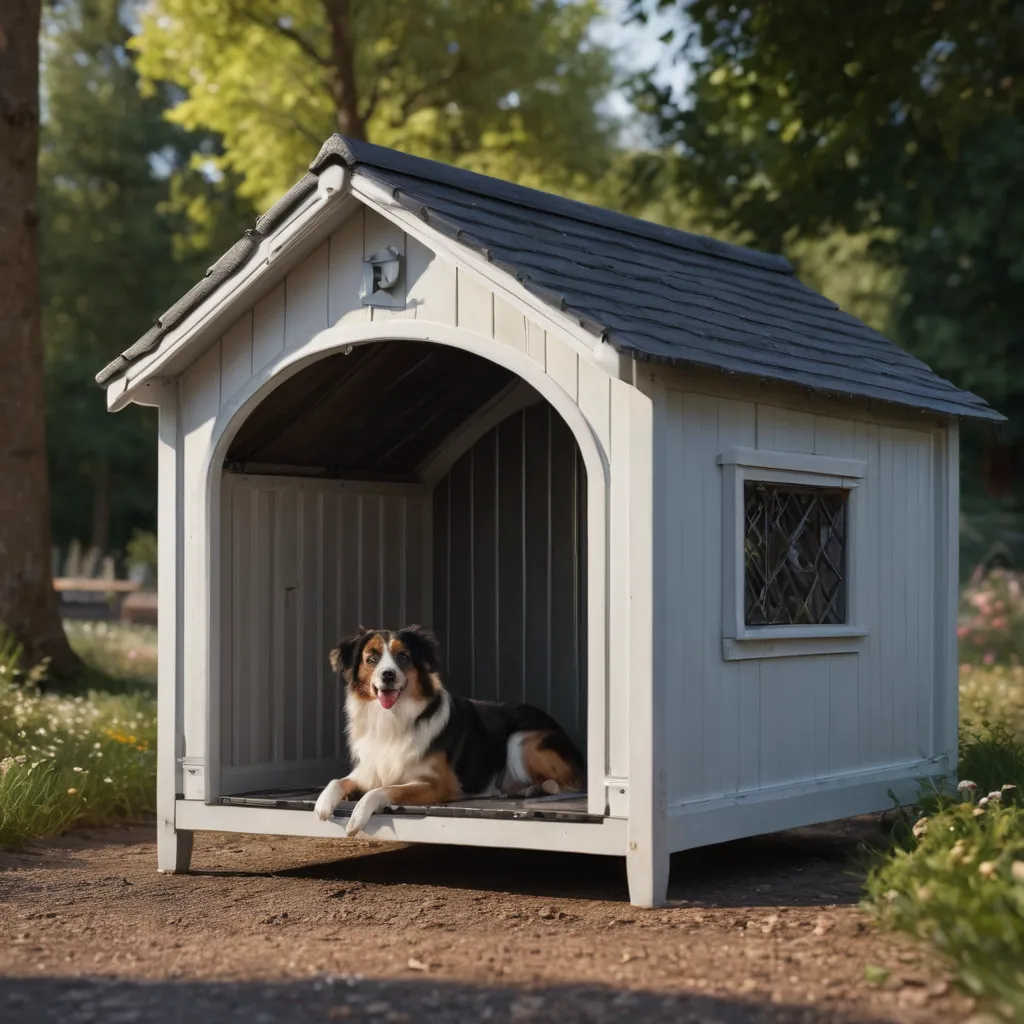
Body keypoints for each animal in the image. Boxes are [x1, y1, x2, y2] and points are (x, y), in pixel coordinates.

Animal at [311, 626, 585, 835]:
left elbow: (383, 790)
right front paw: (323, 803)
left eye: (403, 657)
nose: (388, 675)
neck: (392, 717)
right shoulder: (370, 769)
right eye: (371, 658)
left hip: (520, 740)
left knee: (566, 786)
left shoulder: (437, 783)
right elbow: (337, 781)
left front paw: (358, 815)